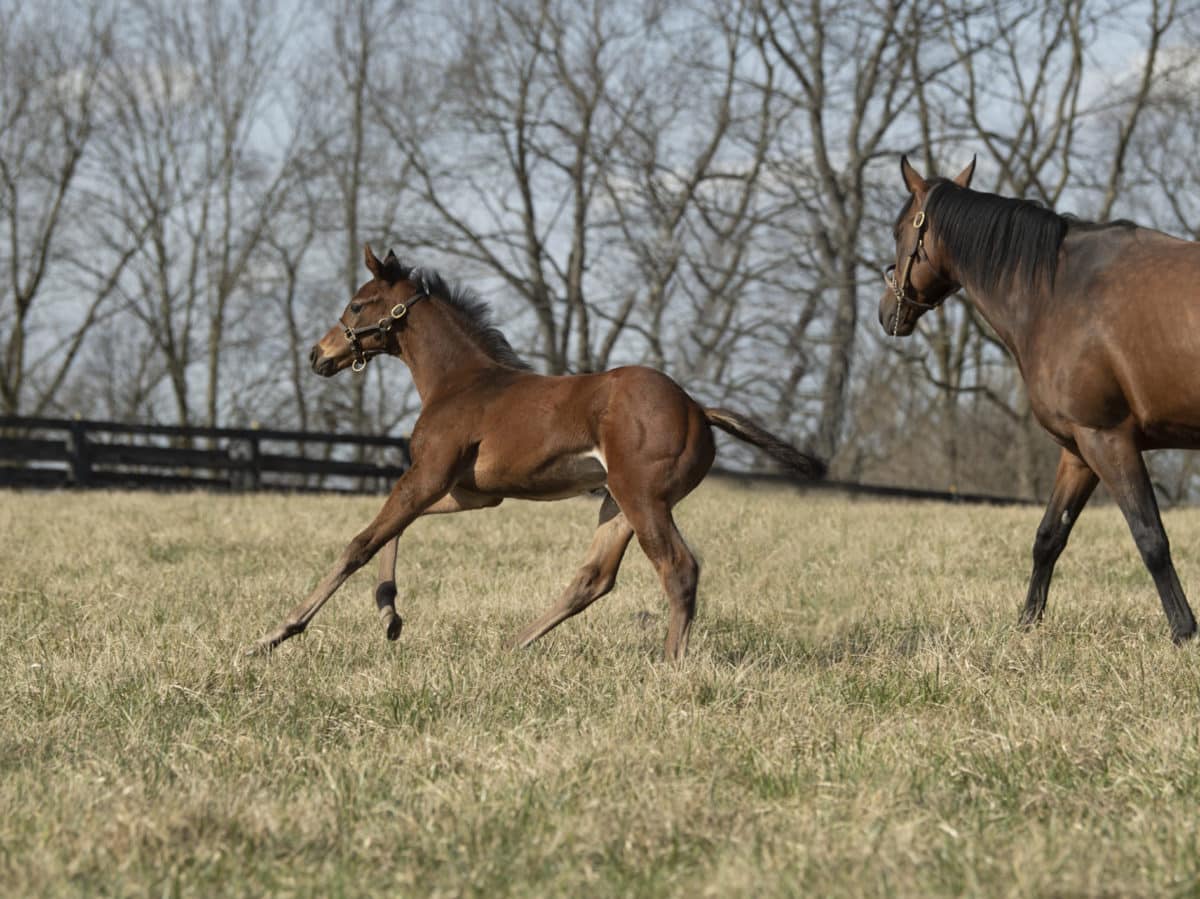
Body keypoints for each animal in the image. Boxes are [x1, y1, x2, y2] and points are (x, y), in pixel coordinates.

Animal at [253, 246, 825, 657]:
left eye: (356, 304)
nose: (318, 355)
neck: (459, 382)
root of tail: (697, 409)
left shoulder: (430, 475)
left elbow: (362, 542)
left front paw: (277, 632)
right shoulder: (469, 492)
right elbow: (392, 532)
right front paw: (389, 615)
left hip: (643, 500)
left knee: (678, 569)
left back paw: (670, 666)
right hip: (617, 502)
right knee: (593, 578)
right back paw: (510, 648)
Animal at [883, 157, 1200, 643]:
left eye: (899, 230)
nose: (887, 313)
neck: (1059, 293)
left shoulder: (1107, 438)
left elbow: (1150, 537)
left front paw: (1184, 631)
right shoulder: (1079, 449)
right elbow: (1049, 537)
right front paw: (1027, 624)